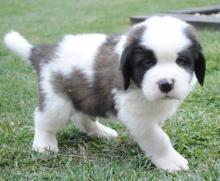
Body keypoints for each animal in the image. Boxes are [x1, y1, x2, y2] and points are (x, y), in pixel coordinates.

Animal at [4, 16, 205, 171]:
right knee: (43, 119)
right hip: (57, 101)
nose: (166, 84)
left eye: (181, 61)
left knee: (82, 117)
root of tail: (43, 52)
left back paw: (101, 132)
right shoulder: (137, 115)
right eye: (147, 62)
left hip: (85, 94)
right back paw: (44, 144)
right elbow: (158, 137)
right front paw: (172, 161)